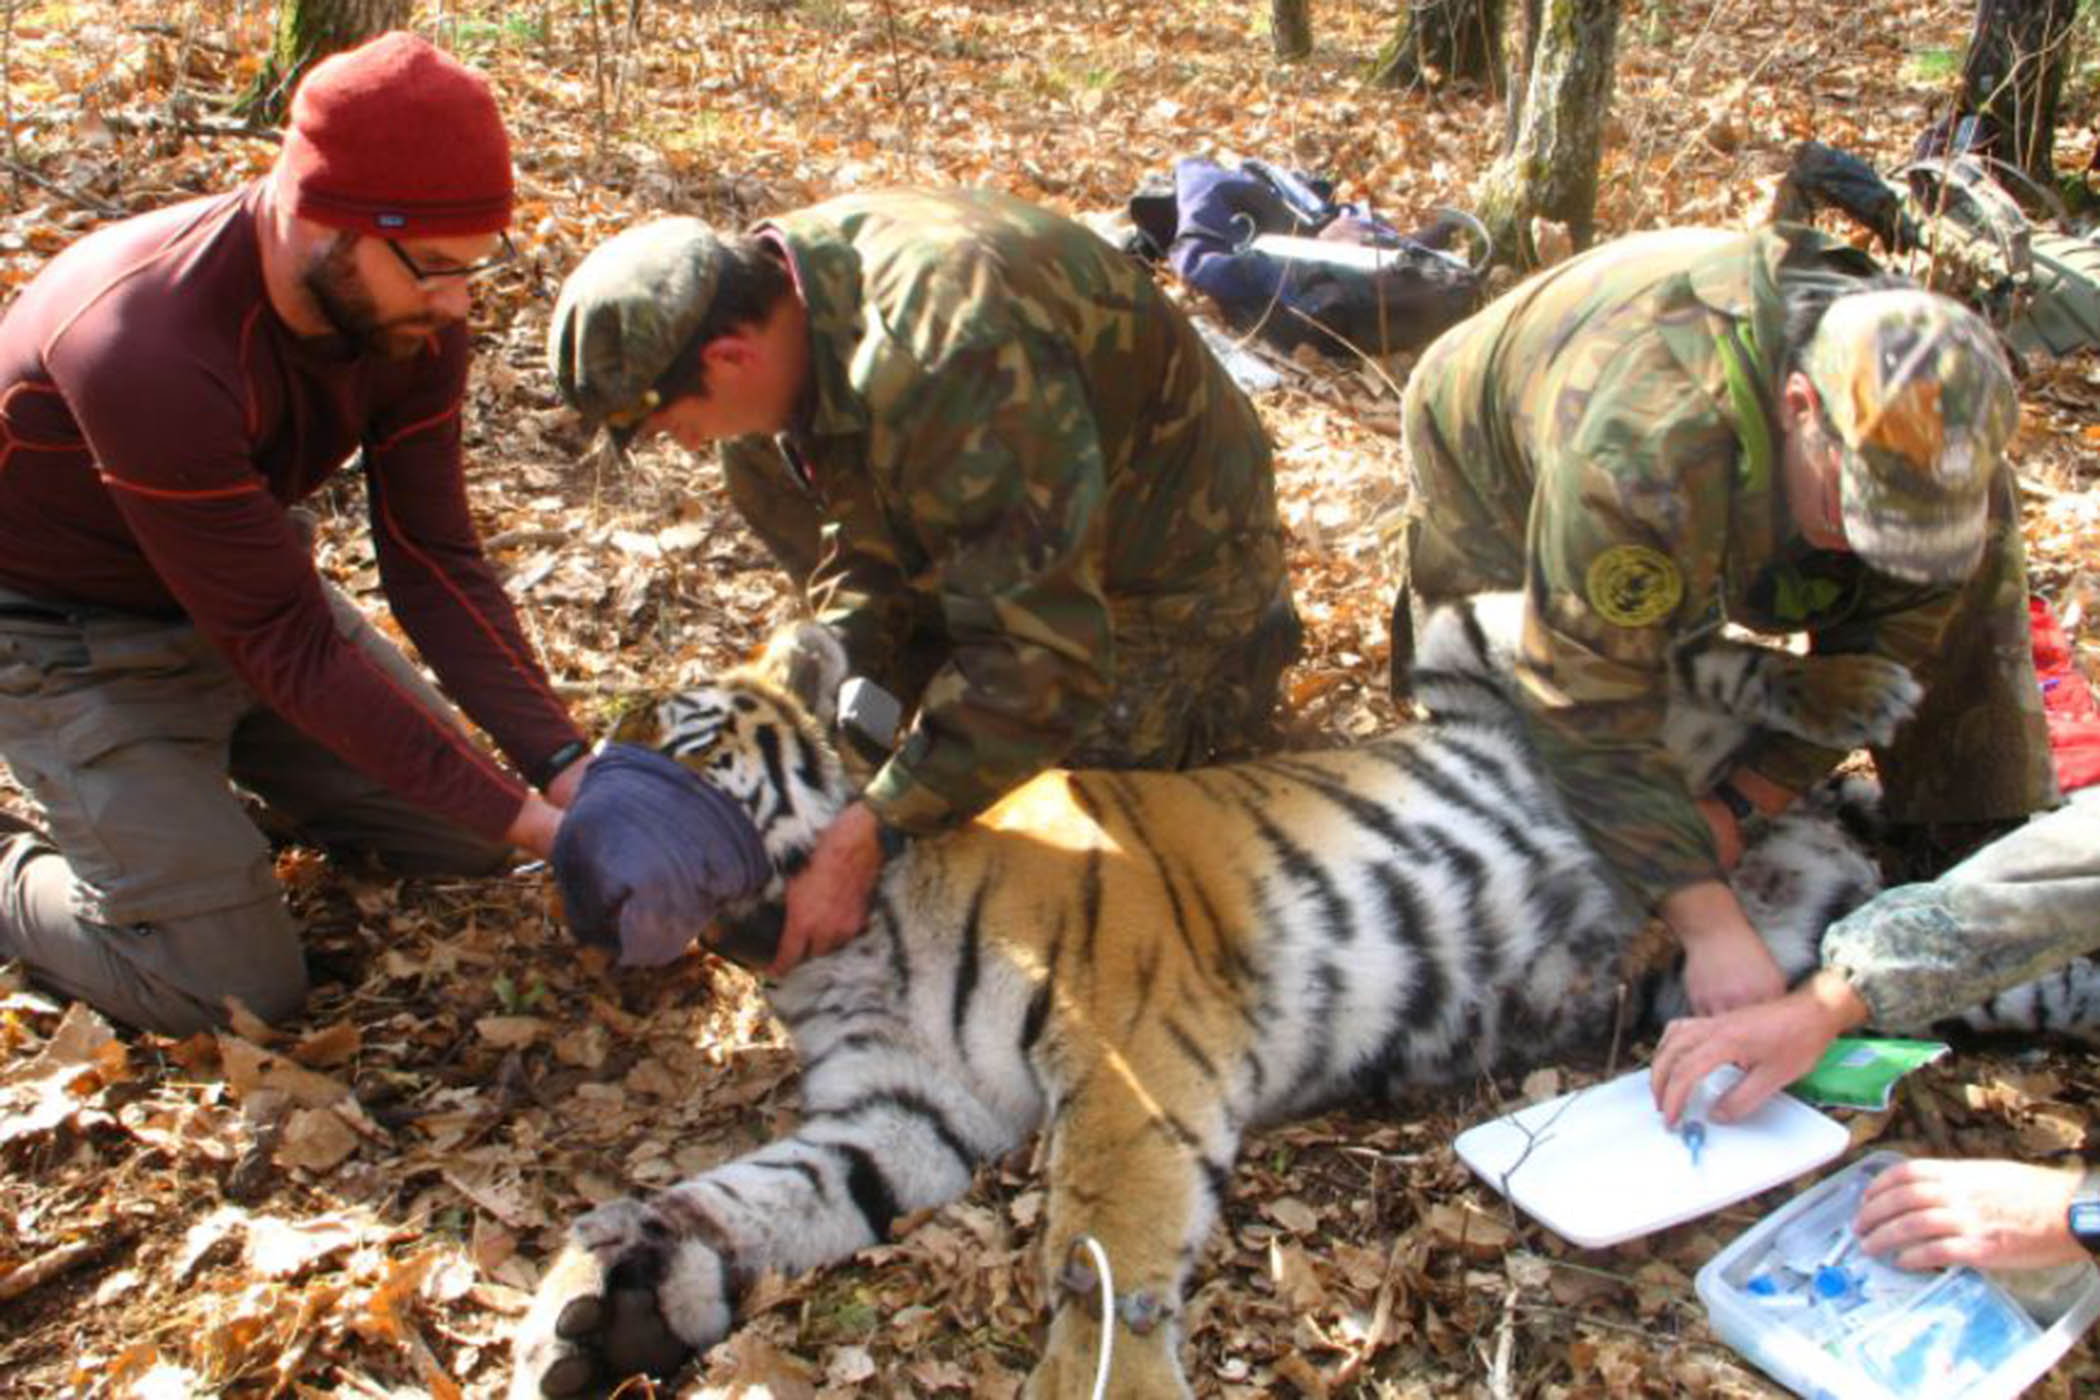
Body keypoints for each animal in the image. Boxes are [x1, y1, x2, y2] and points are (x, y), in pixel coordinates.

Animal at [509, 596, 1913, 1400]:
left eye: (685, 738)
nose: (578, 835)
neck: (833, 942)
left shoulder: (1125, 1047)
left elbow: (1100, 1244)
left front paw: (1108, 1379)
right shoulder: (900, 1107)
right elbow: (763, 1192)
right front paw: (608, 1299)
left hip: (1481, 634)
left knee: (1714, 652)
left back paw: (1862, 686)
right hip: (1719, 938)